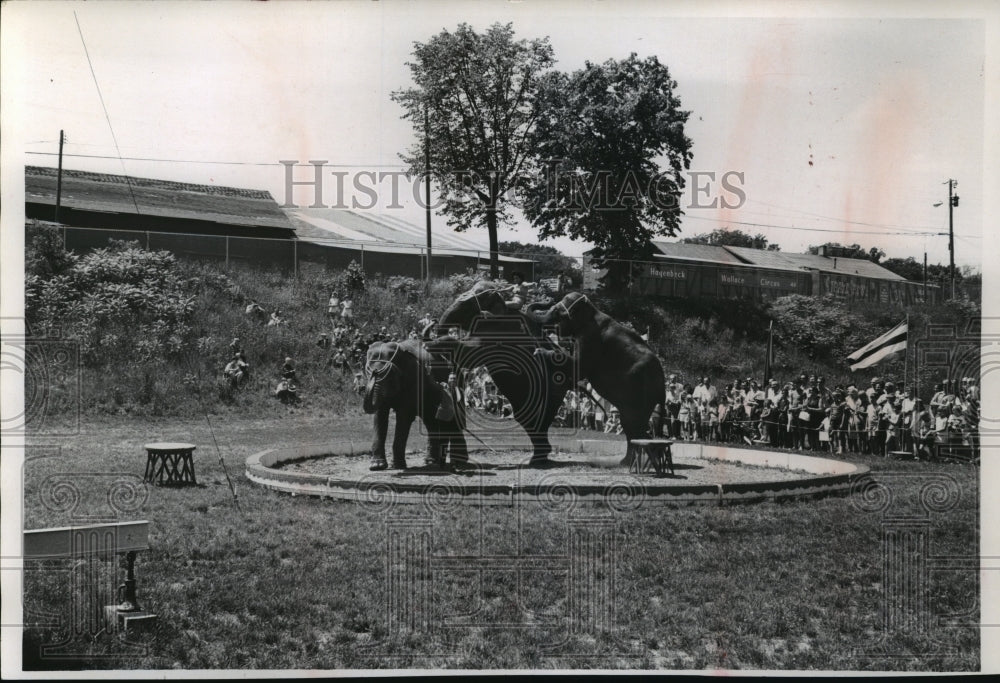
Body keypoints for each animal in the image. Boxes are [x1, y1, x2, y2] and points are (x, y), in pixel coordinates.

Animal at [362, 340, 466, 470]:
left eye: (389, 375)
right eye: (367, 372)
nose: (375, 372)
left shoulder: (414, 379)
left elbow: (404, 417)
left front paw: (398, 466)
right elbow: (380, 416)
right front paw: (377, 466)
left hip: (459, 383)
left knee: (453, 421)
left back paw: (458, 465)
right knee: (431, 422)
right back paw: (431, 462)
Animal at [434, 284, 576, 464]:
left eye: (467, 306)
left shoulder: (493, 330)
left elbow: (468, 355)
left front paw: (436, 343)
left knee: (536, 418)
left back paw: (538, 460)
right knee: (529, 421)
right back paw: (538, 458)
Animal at [528, 292, 668, 462]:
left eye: (556, 312)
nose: (547, 300)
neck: (592, 310)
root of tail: (663, 386)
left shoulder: (590, 337)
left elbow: (578, 367)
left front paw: (539, 352)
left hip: (642, 393)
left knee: (633, 424)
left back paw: (635, 460)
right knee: (632, 426)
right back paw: (630, 460)